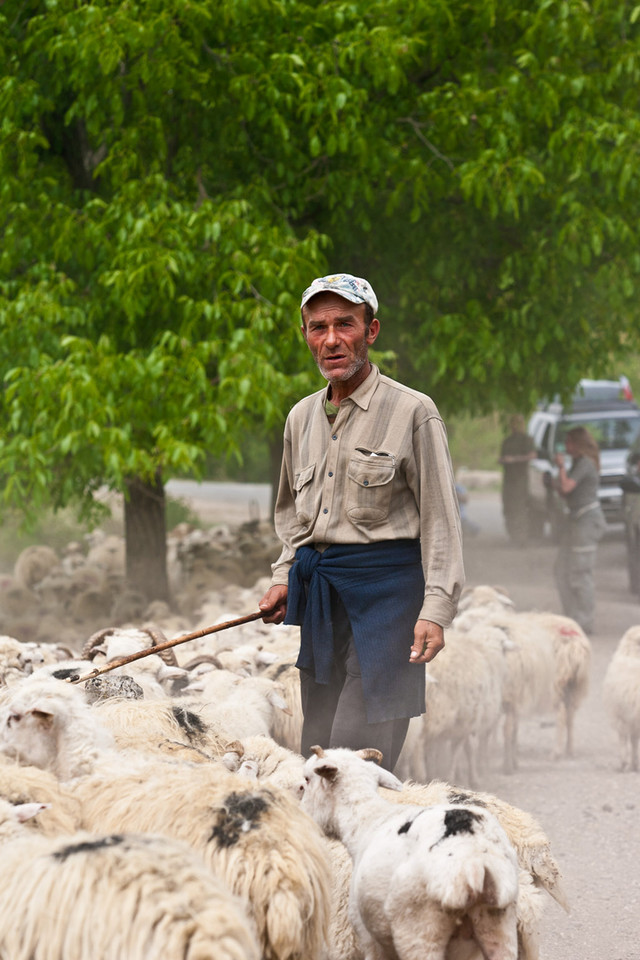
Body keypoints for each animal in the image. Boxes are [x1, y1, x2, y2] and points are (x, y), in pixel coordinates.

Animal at [300, 752, 520, 960]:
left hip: (418, 930)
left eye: (307, 780)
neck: (369, 818)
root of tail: (474, 860)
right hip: (500, 926)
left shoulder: (368, 936)